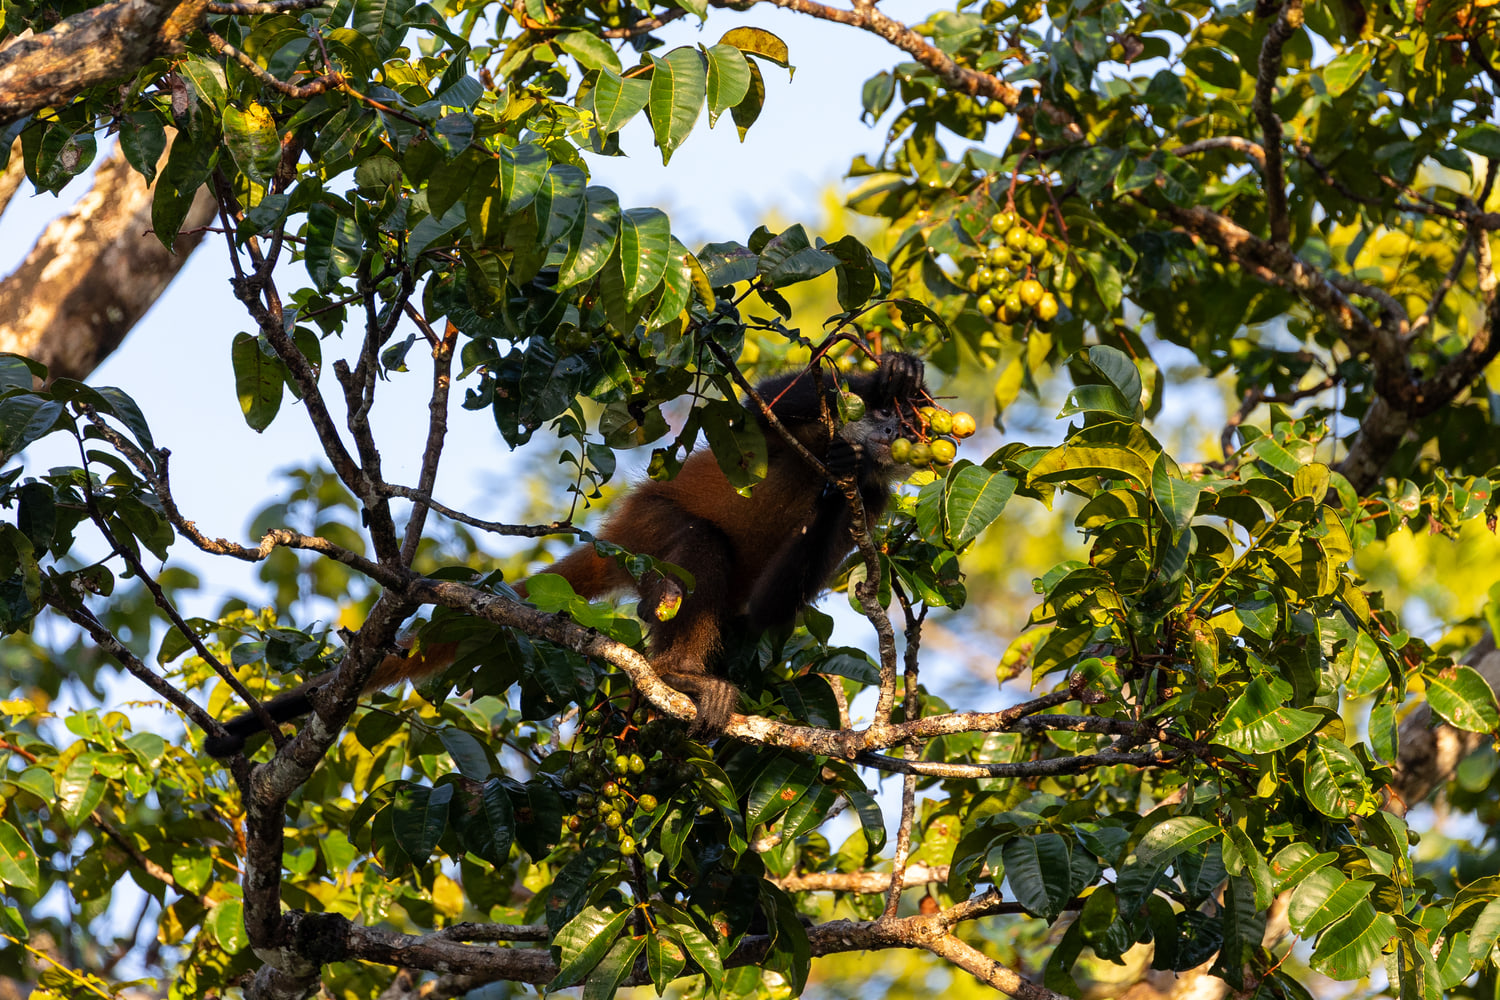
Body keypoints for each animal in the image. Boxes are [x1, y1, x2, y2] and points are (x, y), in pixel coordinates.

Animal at [202, 352, 926, 757]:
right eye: (894, 415)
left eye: (913, 431)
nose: (893, 427)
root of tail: (622, 526)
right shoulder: (809, 419)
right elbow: (758, 408)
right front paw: (886, 371)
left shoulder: (875, 500)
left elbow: (773, 609)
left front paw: (843, 473)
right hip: (653, 527)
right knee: (702, 546)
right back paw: (680, 672)